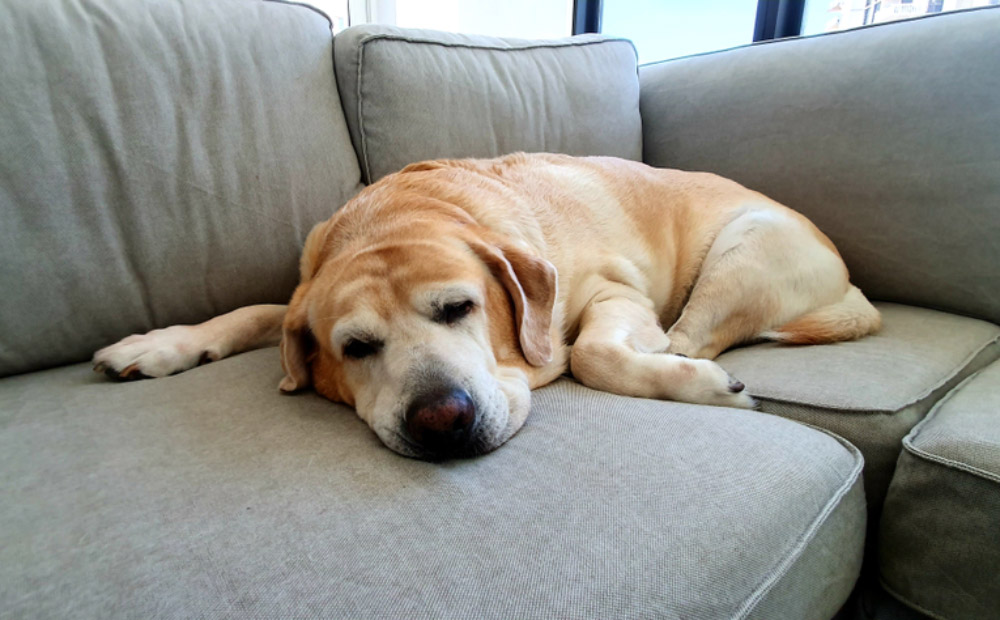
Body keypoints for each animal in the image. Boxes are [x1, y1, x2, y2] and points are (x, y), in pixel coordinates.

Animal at [92, 153, 876, 458]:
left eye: (459, 308)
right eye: (355, 349)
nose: (442, 421)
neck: (401, 215)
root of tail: (855, 291)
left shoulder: (611, 291)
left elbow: (590, 354)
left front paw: (688, 381)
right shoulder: (299, 295)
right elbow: (253, 312)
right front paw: (158, 343)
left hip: (743, 254)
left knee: (689, 337)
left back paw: (697, 369)